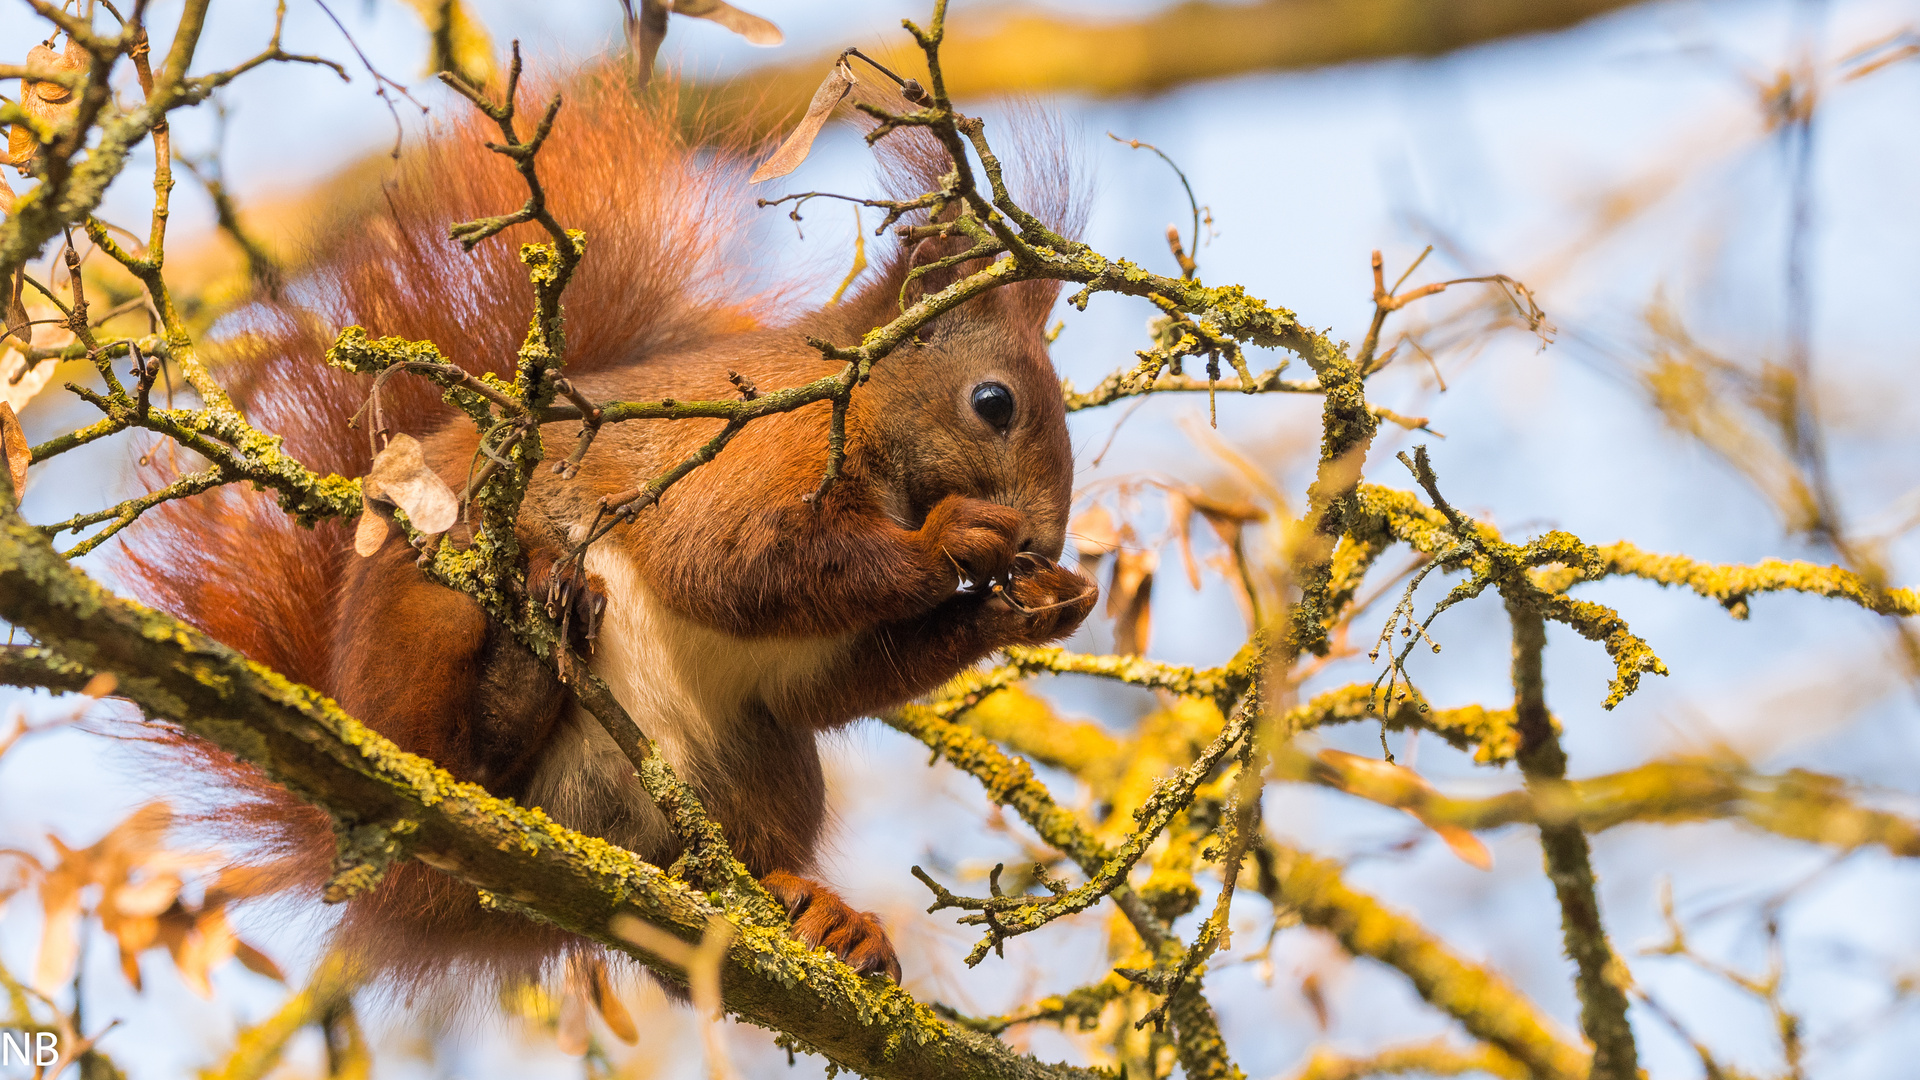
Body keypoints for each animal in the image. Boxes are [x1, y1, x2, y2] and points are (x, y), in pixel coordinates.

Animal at [123, 71, 1098, 991]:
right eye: (994, 403)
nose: (1046, 545)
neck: (854, 404)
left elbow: (829, 686)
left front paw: (1043, 605)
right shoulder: (741, 459)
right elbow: (735, 567)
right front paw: (955, 540)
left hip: (760, 766)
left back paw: (814, 910)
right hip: (426, 617)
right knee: (458, 753)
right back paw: (517, 679)